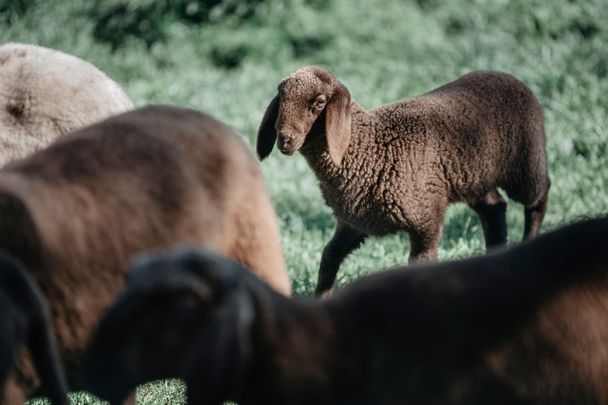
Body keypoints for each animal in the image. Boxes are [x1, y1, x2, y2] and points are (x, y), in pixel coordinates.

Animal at [256, 65, 552, 294]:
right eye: (281, 100)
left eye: (318, 103)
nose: (284, 140)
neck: (368, 148)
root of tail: (508, 76)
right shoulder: (355, 222)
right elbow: (329, 259)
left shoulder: (426, 219)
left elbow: (420, 267)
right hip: (473, 179)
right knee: (494, 208)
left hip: (525, 163)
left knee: (539, 196)